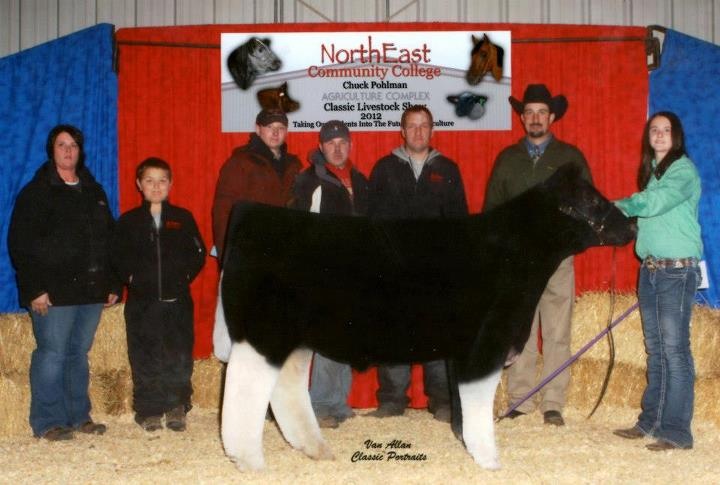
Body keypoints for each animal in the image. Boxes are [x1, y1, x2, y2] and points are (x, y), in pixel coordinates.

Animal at [217, 164, 635, 471]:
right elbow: (478, 400)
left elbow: (462, 405)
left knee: (285, 388)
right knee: (245, 387)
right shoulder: (487, 340)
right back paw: (249, 460)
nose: (632, 224)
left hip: (295, 339)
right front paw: (490, 460)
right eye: (593, 200)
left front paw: (468, 444)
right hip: (263, 334)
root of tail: (249, 212)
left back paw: (314, 449)